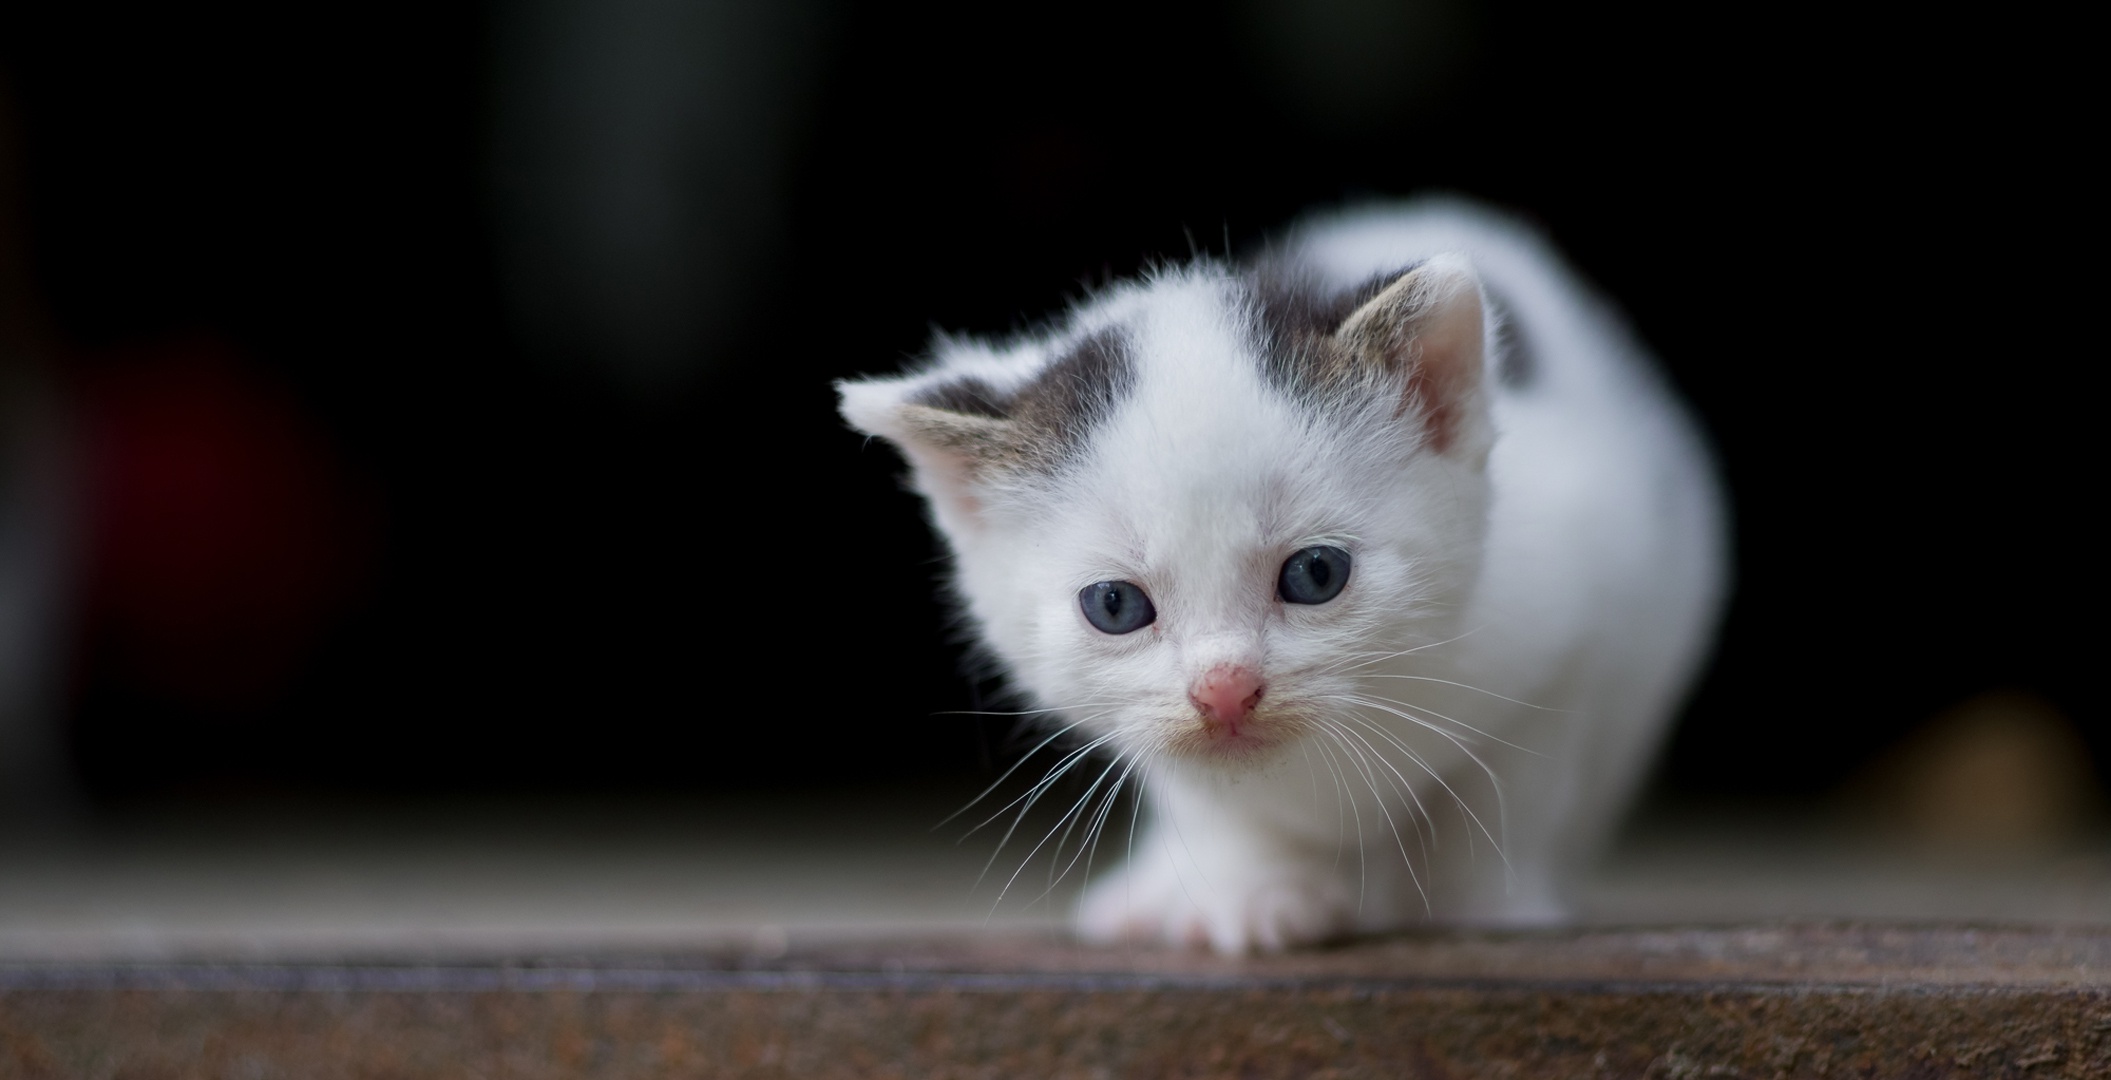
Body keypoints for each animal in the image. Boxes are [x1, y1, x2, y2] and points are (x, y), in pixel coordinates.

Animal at [840, 198, 1731, 949]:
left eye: (1314, 574)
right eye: (1114, 605)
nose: (1224, 689)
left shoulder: (1569, 617)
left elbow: (1506, 789)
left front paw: (1478, 906)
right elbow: (1218, 806)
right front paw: (1254, 895)